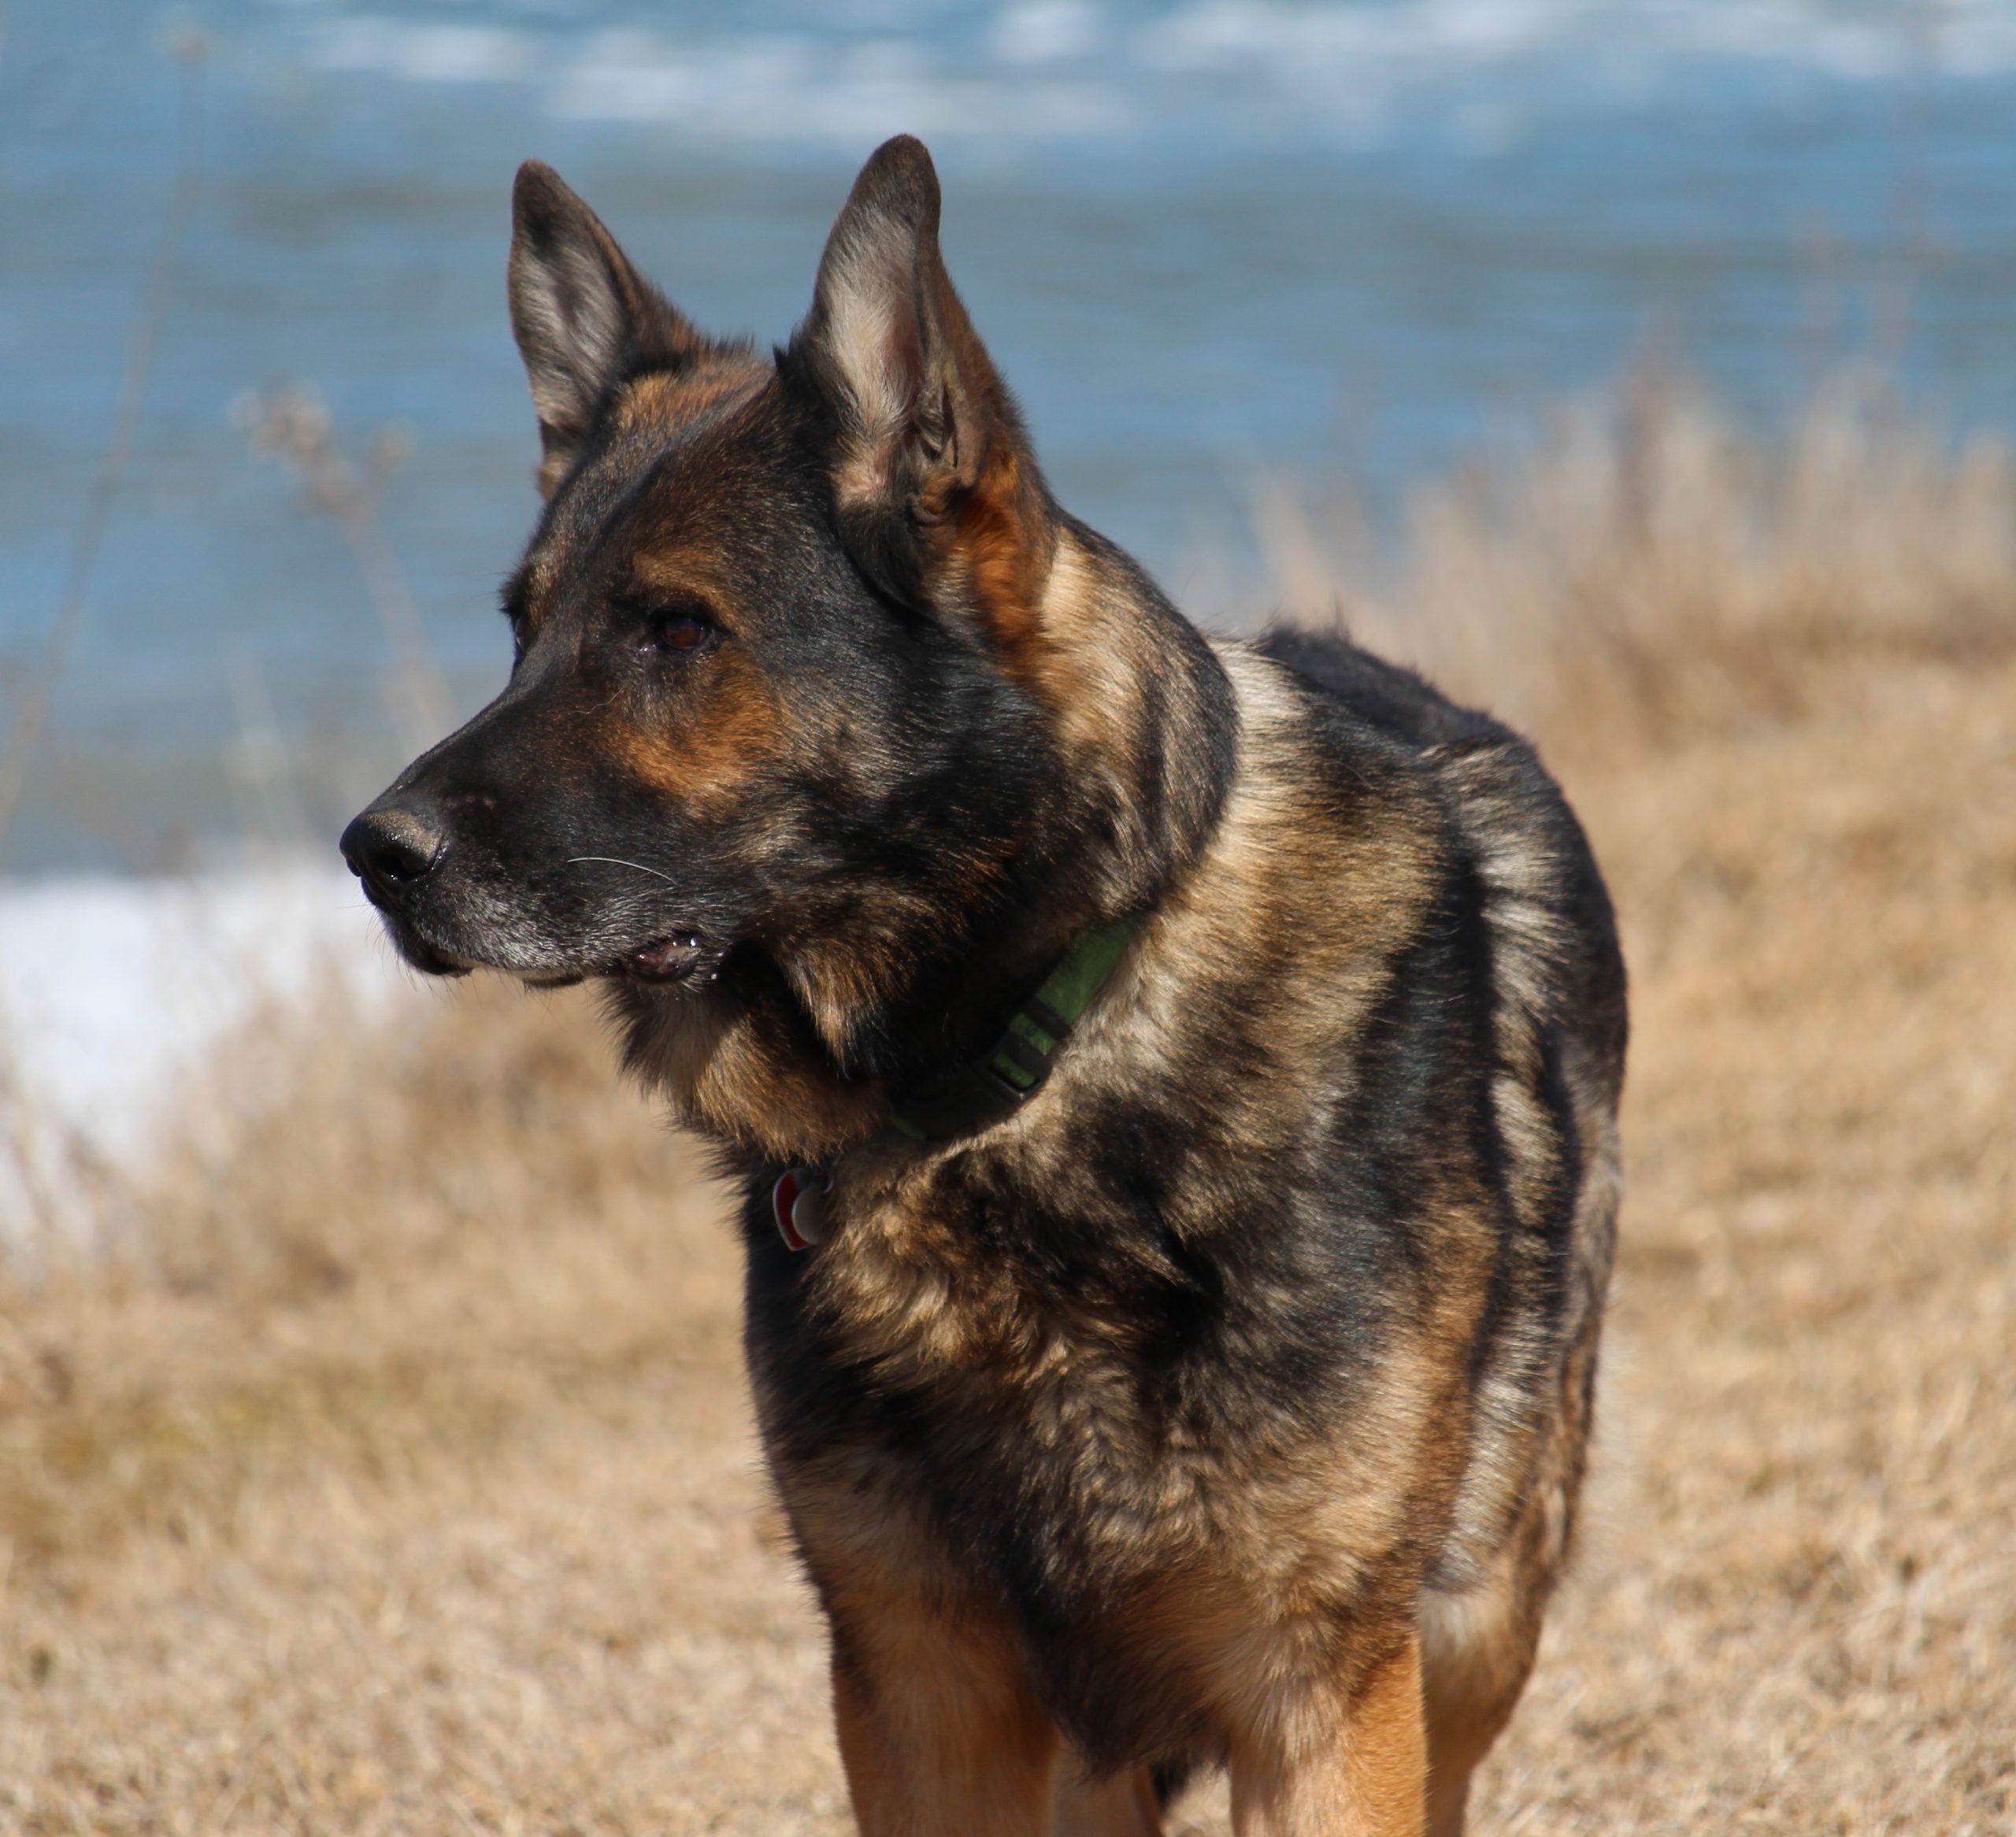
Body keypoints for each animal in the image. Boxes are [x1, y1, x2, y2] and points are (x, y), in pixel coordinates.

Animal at [343, 135, 1621, 1831]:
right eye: (519, 629)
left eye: (674, 629)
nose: (370, 854)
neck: (1027, 1059)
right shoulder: (918, 1678)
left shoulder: (1317, 1689)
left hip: (1473, 1617)